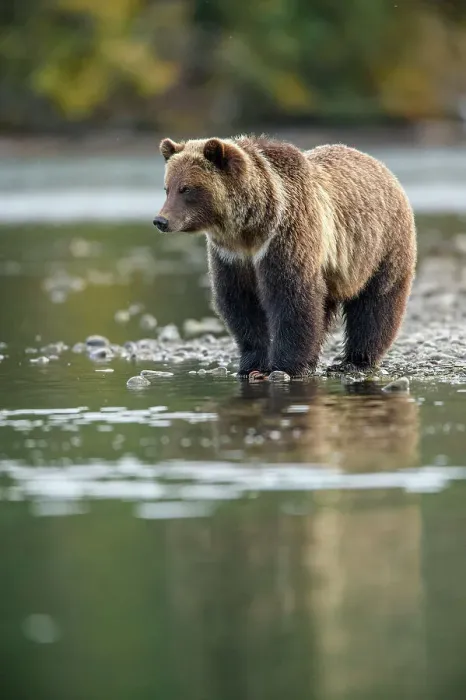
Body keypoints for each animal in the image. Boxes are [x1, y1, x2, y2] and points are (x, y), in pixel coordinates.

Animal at [154, 135, 416, 378]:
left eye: (186, 188)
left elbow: (292, 299)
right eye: (167, 188)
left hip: (382, 246)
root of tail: (380, 165)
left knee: (376, 303)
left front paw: (285, 366)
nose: (161, 220)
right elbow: (240, 302)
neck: (249, 228)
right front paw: (251, 364)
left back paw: (356, 360)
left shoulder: (284, 238)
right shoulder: (231, 256)